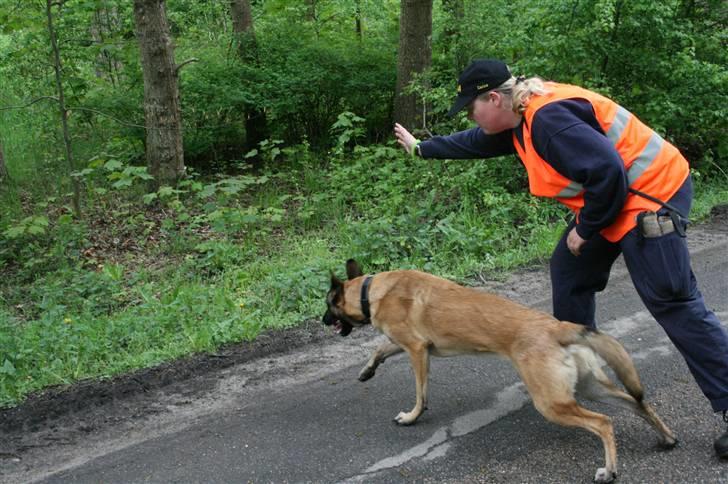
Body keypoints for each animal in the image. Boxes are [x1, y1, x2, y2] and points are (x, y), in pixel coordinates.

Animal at [324, 260, 676, 482]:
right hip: (590, 388)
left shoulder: (417, 350)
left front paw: (412, 416)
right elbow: (379, 350)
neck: (371, 291)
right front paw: (367, 370)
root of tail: (559, 327)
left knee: (604, 423)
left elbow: (420, 393)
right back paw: (666, 438)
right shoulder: (405, 344)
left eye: (328, 306)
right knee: (638, 403)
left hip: (552, 404)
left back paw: (610, 471)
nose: (323, 322)